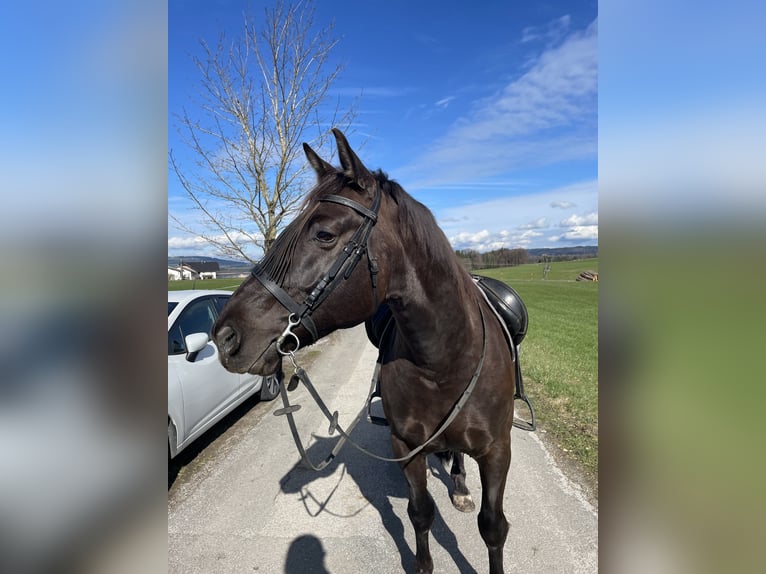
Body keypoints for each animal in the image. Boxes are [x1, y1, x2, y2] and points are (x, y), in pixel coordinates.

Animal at [216, 130, 520, 574]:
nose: (224, 336)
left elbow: (493, 527)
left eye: (324, 234)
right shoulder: (406, 447)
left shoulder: (498, 451)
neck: (444, 362)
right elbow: (420, 514)